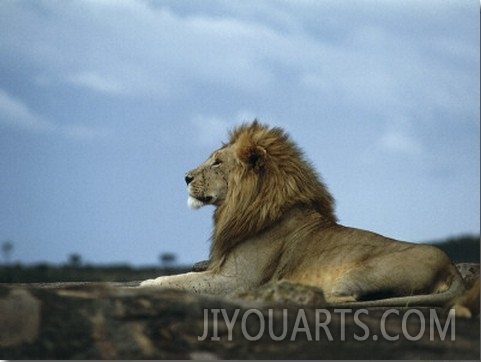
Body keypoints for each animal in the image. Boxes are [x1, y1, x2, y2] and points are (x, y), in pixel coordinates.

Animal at [140, 121, 476, 314]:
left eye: (217, 162)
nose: (185, 177)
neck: (238, 208)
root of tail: (452, 268)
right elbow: (188, 273)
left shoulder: (236, 279)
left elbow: (179, 281)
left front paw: (148, 283)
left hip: (361, 272)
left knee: (344, 300)